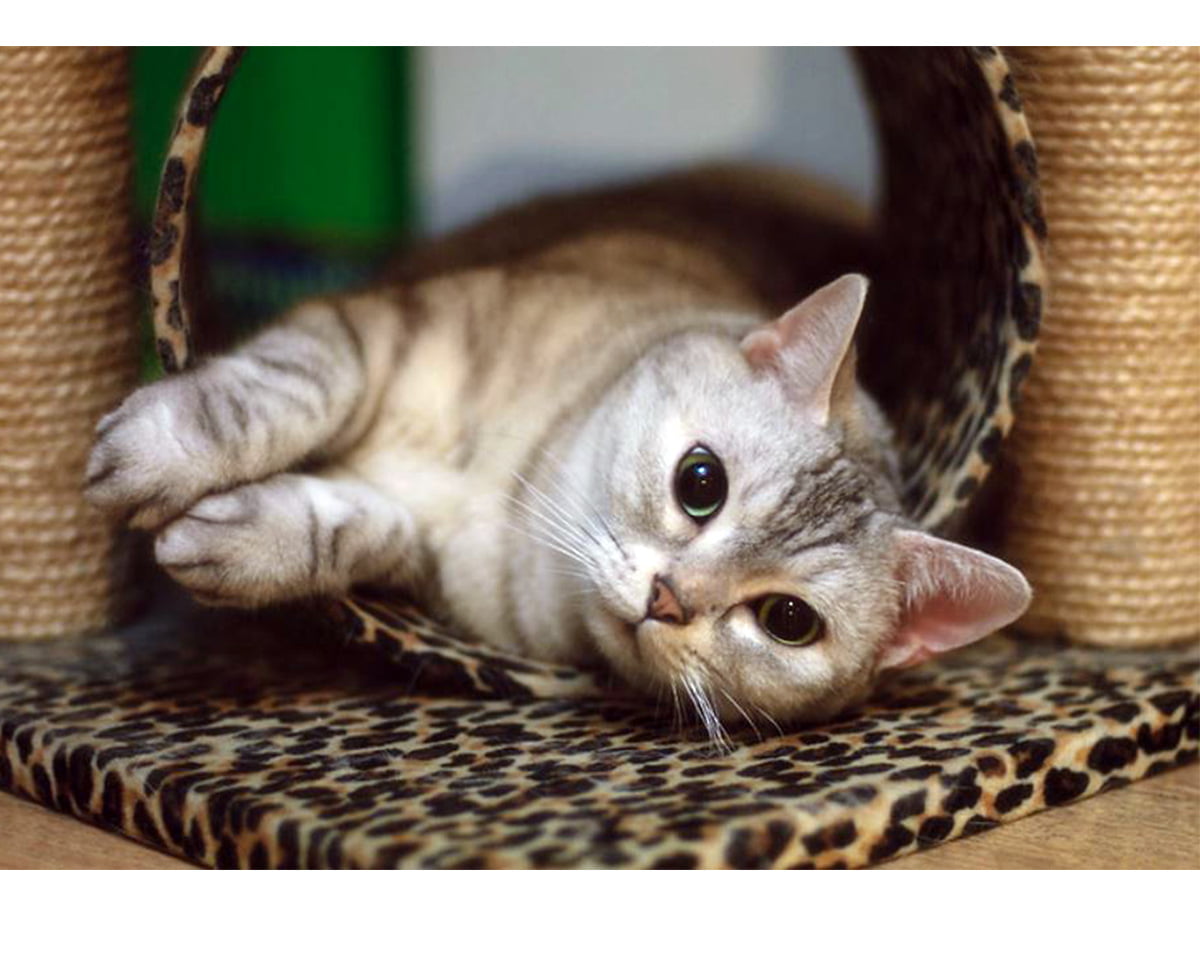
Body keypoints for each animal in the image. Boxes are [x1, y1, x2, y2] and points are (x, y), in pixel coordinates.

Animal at [84, 165, 1032, 738]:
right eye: (700, 481)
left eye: (787, 621)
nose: (668, 599)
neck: (503, 511)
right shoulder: (383, 327)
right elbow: (282, 393)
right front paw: (154, 451)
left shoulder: (415, 566)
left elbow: (345, 529)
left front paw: (233, 540)